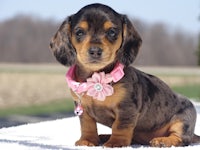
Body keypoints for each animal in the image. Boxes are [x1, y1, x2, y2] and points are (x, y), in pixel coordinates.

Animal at [49, 2, 199, 147]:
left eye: (112, 32)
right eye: (79, 32)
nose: (95, 51)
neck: (96, 78)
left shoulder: (126, 108)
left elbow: (120, 127)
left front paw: (116, 142)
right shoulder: (83, 110)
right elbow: (87, 126)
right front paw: (88, 140)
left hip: (183, 119)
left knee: (181, 139)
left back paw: (163, 140)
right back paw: (104, 136)